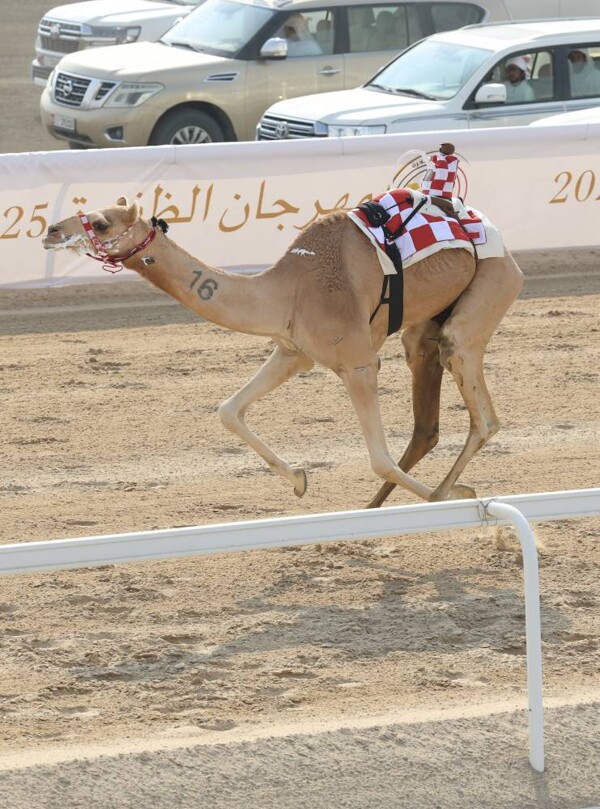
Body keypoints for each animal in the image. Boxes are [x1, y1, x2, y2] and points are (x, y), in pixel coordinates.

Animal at [43, 196, 523, 506]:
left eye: (101, 222)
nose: (50, 230)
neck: (287, 287)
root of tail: (493, 232)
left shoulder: (359, 362)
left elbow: (379, 459)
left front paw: (457, 495)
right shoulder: (294, 351)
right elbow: (228, 410)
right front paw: (298, 479)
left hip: (489, 290)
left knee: (481, 410)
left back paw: (446, 493)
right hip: (427, 324)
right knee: (428, 412)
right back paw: (392, 501)